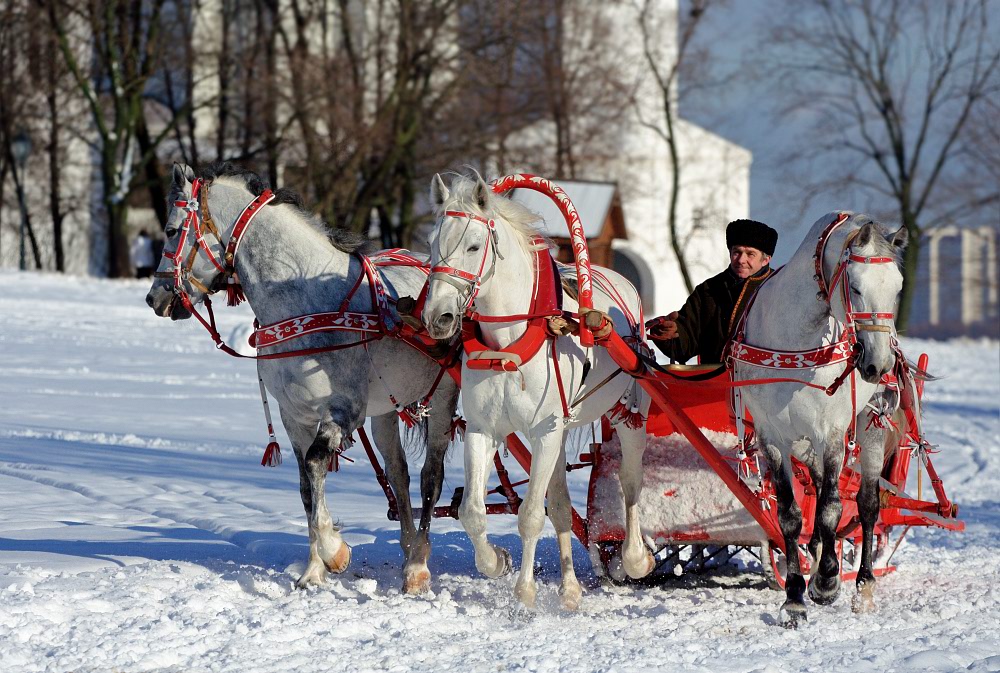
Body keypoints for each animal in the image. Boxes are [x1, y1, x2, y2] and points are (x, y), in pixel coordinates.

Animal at [146, 163, 460, 592]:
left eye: (171, 230)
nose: (155, 298)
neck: (305, 300)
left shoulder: (342, 410)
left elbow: (315, 465)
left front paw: (335, 551)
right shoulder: (294, 416)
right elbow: (305, 488)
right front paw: (314, 570)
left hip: (442, 402)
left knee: (431, 477)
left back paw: (417, 566)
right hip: (385, 410)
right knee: (398, 473)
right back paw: (408, 546)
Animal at [422, 175, 656, 608]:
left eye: (474, 246)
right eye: (432, 243)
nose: (438, 317)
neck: (508, 344)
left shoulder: (544, 431)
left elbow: (530, 514)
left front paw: (525, 590)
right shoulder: (484, 431)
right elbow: (473, 512)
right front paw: (496, 561)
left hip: (627, 415)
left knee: (631, 482)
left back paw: (634, 559)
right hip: (560, 433)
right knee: (562, 503)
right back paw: (570, 588)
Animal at [732, 211, 912, 624]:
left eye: (897, 288)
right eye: (856, 287)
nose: (879, 365)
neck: (796, 339)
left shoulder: (831, 432)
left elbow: (831, 506)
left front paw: (827, 580)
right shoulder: (771, 435)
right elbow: (789, 514)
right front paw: (795, 596)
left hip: (871, 429)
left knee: (866, 505)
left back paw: (863, 586)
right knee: (815, 487)